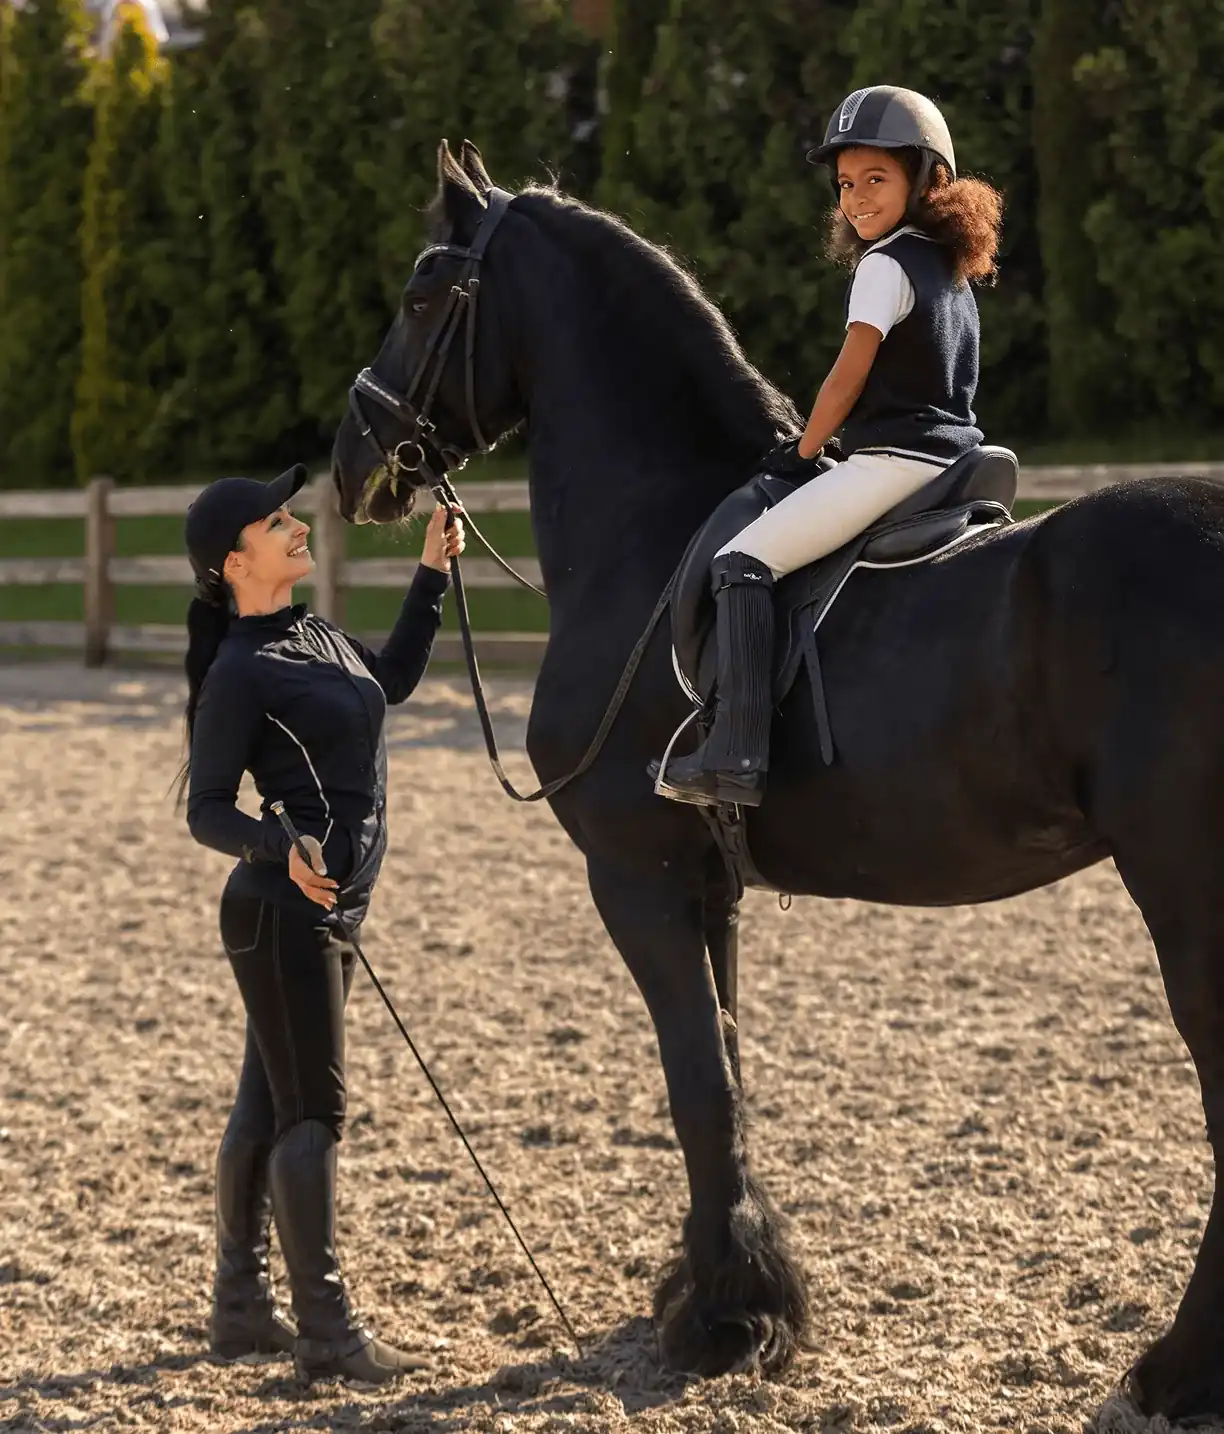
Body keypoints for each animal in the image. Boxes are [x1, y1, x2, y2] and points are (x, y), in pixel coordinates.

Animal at [331, 139, 1224, 1422]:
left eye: (418, 294)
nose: (351, 461)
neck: (653, 534)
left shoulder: (636, 874)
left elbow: (696, 1085)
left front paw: (722, 1322)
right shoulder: (710, 881)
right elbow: (731, 1075)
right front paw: (739, 1295)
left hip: (1187, 896)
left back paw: (1176, 1369)